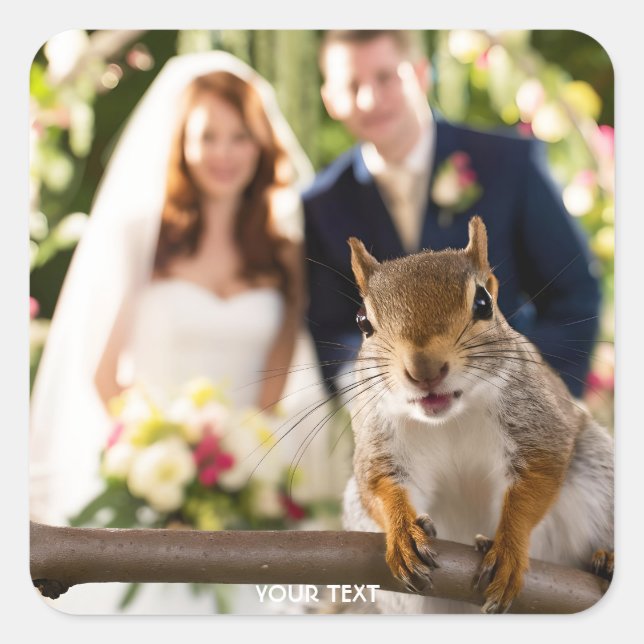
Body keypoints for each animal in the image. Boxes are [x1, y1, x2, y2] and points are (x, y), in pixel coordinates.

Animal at [341, 215, 613, 614]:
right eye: (363, 321)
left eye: (484, 303)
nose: (424, 370)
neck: (450, 416)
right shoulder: (378, 438)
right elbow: (377, 485)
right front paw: (404, 532)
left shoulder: (538, 424)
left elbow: (537, 478)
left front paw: (508, 549)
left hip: (598, 468)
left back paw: (606, 558)